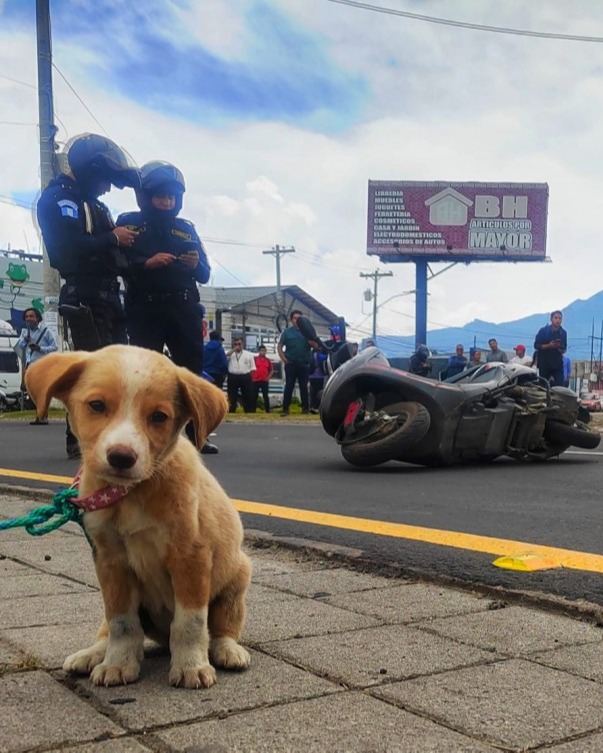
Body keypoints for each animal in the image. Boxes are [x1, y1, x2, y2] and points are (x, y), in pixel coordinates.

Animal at [25, 346, 250, 688]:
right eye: (97, 405)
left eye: (158, 417)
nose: (121, 457)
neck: (132, 494)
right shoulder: (110, 562)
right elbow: (122, 623)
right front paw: (118, 664)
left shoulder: (192, 557)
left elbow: (190, 622)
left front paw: (190, 666)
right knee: (108, 629)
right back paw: (91, 655)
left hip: (236, 579)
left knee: (221, 627)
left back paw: (227, 650)